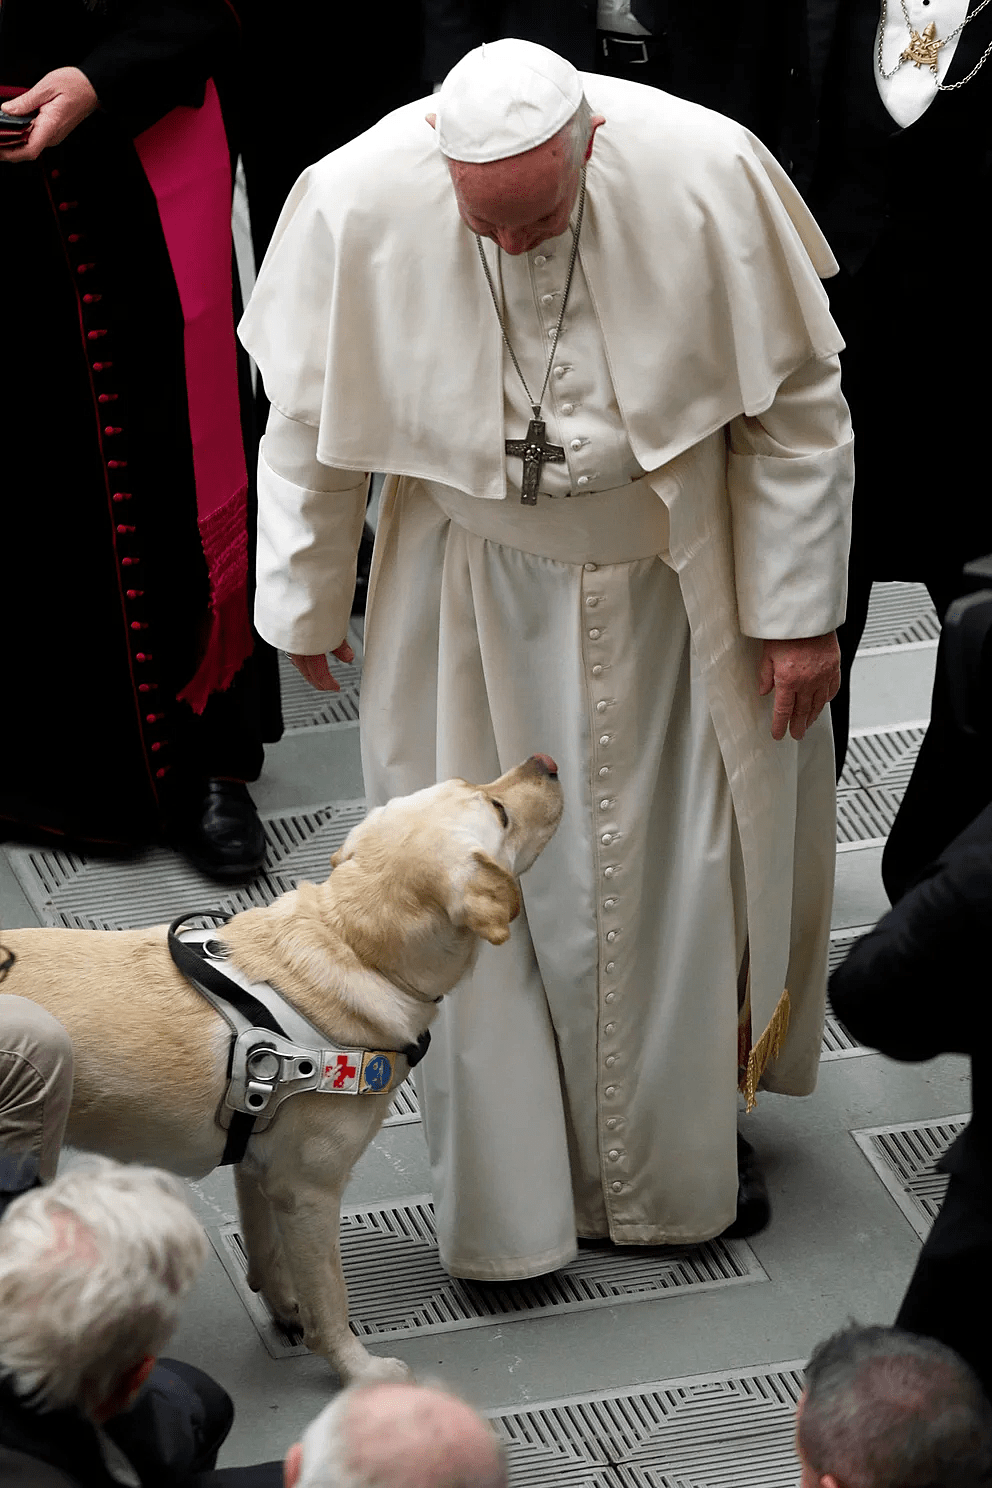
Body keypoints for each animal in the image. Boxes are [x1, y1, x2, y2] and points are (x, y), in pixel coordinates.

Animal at [1, 755, 565, 1380]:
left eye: (474, 785)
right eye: (499, 811)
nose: (547, 762)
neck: (350, 944)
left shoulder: (258, 1168)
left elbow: (268, 1254)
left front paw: (286, 1310)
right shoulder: (309, 1191)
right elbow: (331, 1296)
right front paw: (355, 1368)